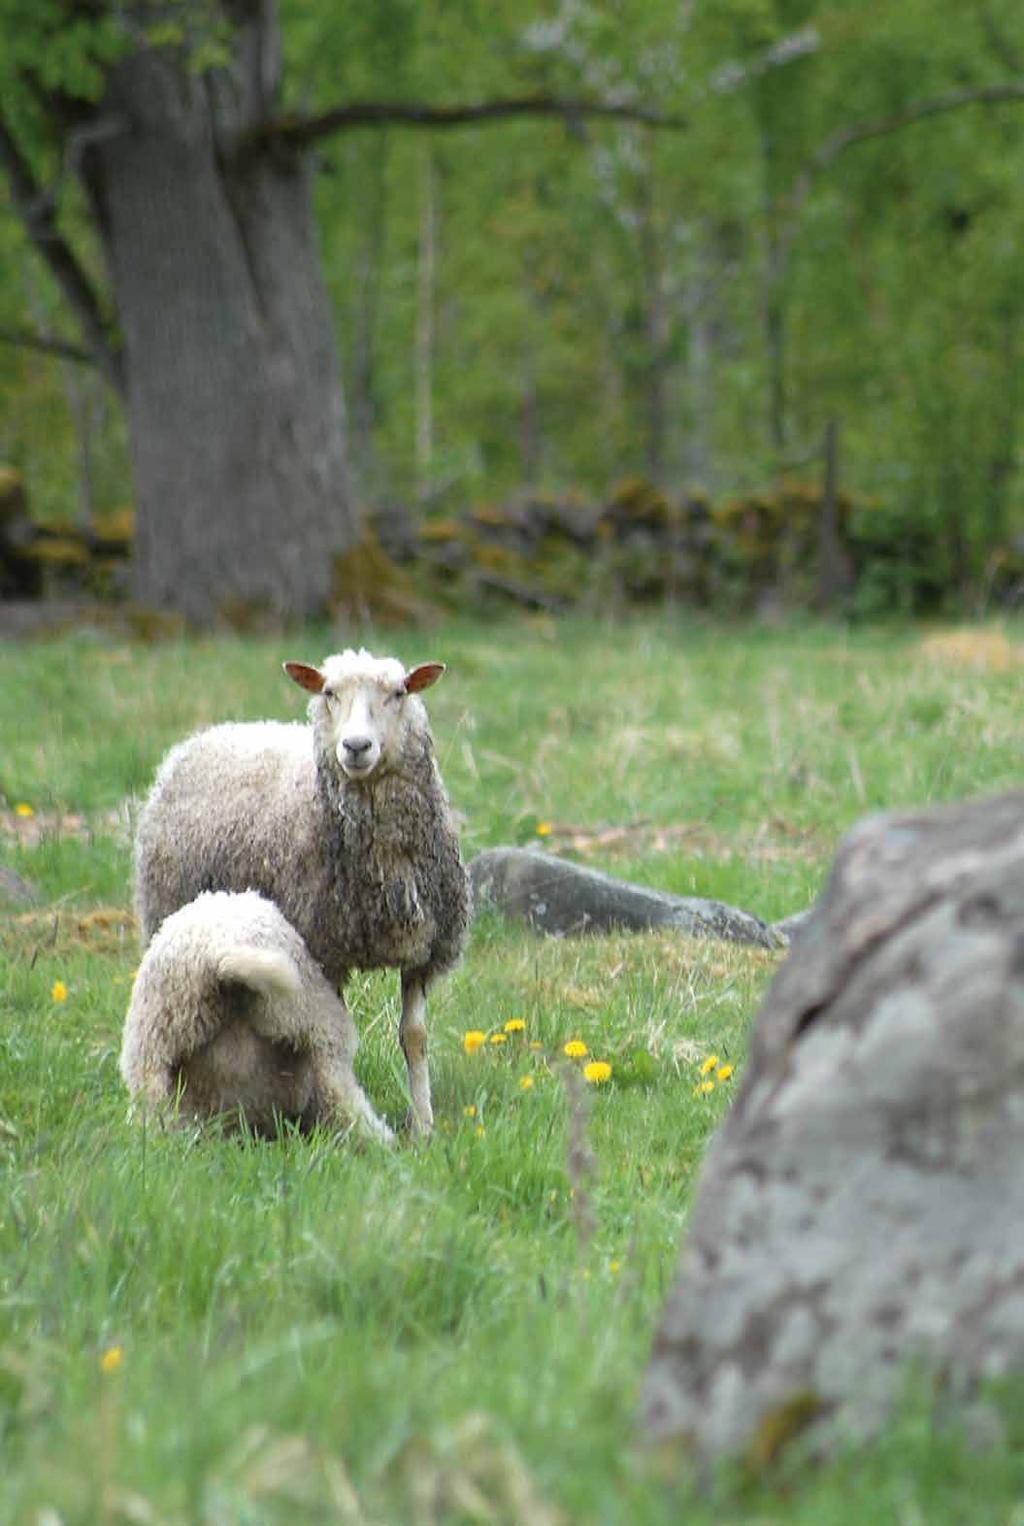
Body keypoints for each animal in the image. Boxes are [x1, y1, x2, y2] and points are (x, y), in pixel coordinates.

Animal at [119, 885, 393, 1147]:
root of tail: (215, 956)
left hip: (154, 1046)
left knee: (155, 1112)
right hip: (309, 1017)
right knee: (339, 1092)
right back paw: (379, 1141)